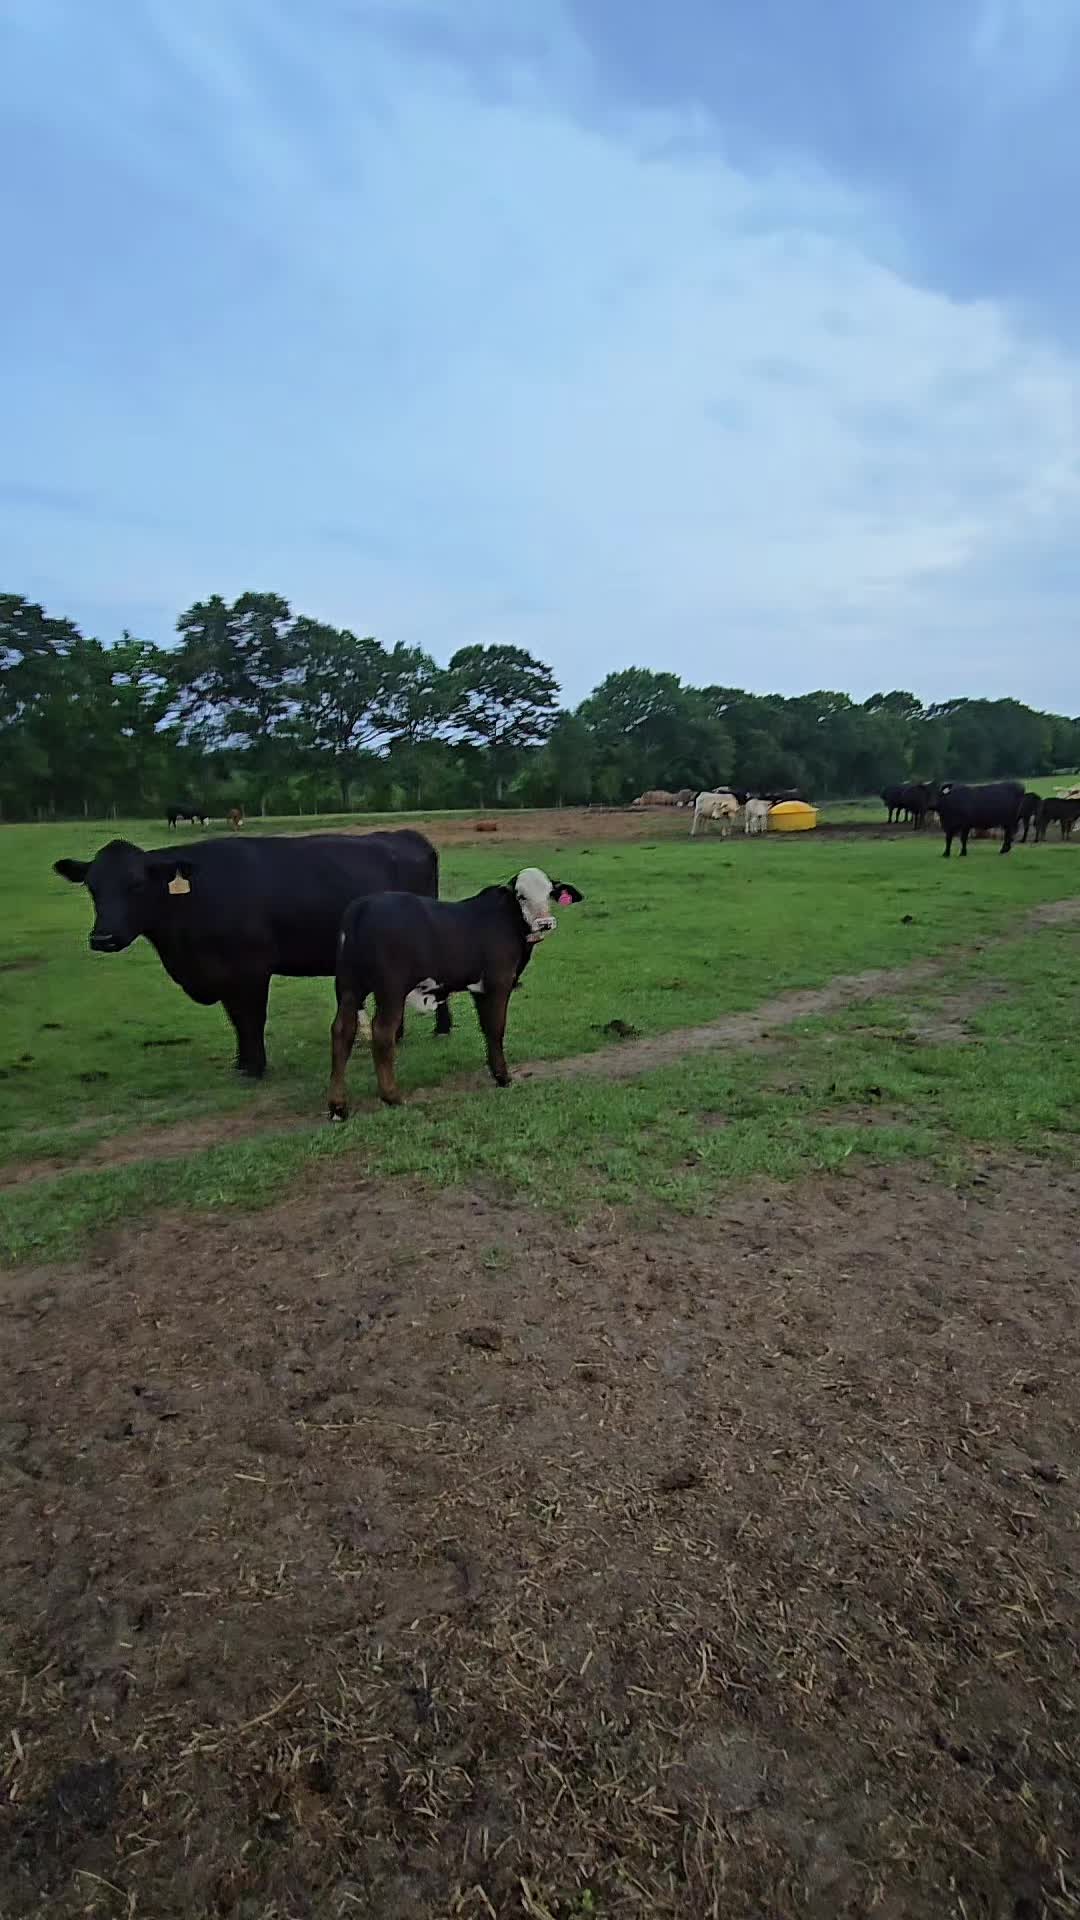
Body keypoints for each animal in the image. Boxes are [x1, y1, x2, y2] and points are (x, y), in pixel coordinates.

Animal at [53, 829, 448, 1078]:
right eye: (92, 887)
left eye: (135, 884)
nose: (103, 937)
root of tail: (404, 836)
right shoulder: (223, 973)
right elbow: (237, 1020)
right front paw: (242, 1063)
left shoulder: (252, 968)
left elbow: (252, 1017)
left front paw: (256, 1067)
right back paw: (397, 1034)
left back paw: (441, 1030)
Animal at [327, 867, 584, 1115]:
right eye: (521, 895)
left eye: (549, 893)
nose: (545, 923)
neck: (508, 920)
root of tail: (363, 906)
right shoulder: (498, 983)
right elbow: (496, 1028)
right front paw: (504, 1077)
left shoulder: (479, 989)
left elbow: (487, 1028)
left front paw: (496, 1072)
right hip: (390, 990)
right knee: (382, 1033)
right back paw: (392, 1096)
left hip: (349, 987)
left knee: (342, 1031)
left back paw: (338, 1105)